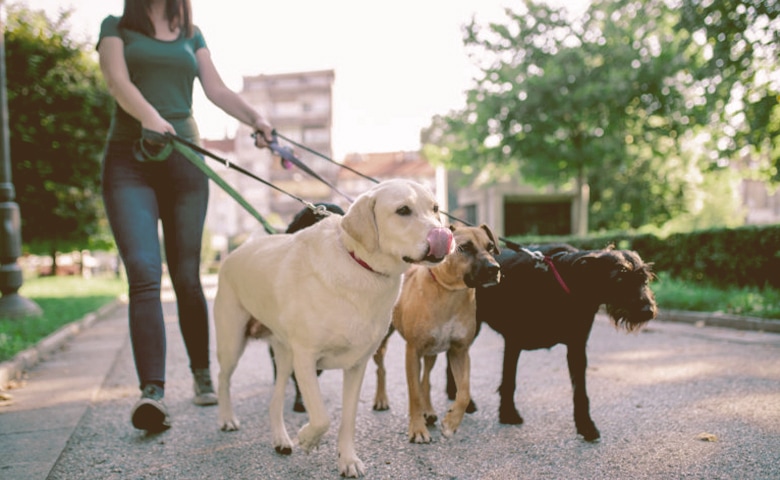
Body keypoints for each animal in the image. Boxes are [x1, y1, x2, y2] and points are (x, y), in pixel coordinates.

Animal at [370, 224, 500, 442]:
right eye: (464, 247)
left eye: (490, 247)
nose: (495, 268)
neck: (449, 293)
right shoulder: (412, 351)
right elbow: (414, 393)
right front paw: (417, 429)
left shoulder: (460, 351)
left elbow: (464, 392)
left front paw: (451, 423)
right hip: (382, 342)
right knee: (382, 369)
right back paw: (381, 399)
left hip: (431, 352)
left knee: (426, 379)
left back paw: (428, 410)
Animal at [458, 246, 660, 440]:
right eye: (619, 278)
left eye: (644, 279)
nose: (648, 311)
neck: (565, 282)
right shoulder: (513, 342)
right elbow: (509, 381)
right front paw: (508, 414)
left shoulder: (577, 347)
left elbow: (580, 393)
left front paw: (585, 426)